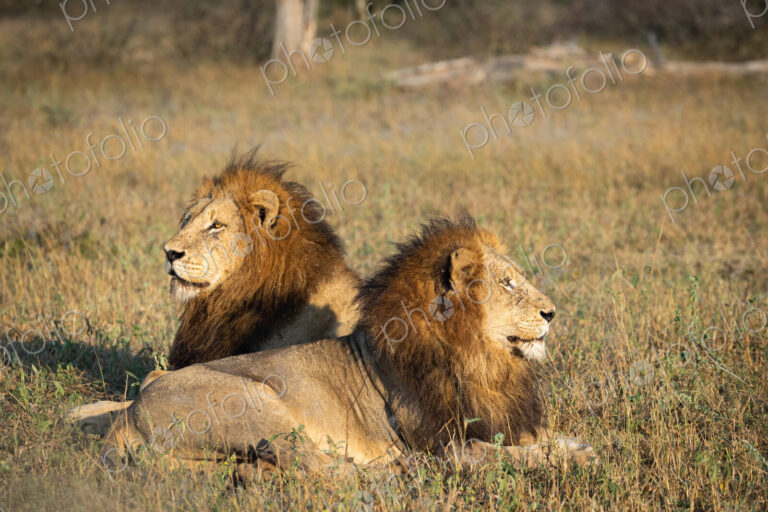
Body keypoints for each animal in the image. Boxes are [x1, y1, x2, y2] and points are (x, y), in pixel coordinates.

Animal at [98, 216, 594, 475]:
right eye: (508, 283)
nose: (552, 313)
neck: (484, 359)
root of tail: (128, 414)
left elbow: (531, 438)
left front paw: (570, 443)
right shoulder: (439, 442)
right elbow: (485, 453)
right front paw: (573, 455)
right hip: (257, 401)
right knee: (310, 462)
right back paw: (389, 471)